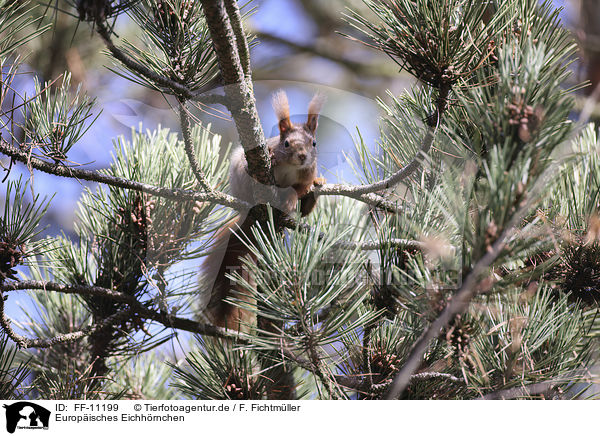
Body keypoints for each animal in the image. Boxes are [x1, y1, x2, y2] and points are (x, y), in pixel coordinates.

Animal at [203, 92, 326, 330]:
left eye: (314, 143)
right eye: (285, 143)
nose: (302, 156)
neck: (291, 168)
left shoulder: (304, 177)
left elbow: (299, 190)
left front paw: (292, 199)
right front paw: (271, 154)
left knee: (306, 209)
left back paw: (316, 187)